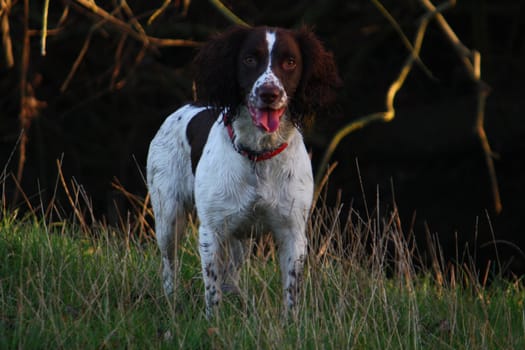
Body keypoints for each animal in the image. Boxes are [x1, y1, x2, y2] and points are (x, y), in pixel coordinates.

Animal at [146, 26, 340, 318]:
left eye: (290, 62)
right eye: (249, 59)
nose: (269, 93)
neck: (259, 155)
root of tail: (185, 107)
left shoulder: (293, 231)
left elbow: (291, 289)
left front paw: (291, 323)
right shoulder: (212, 230)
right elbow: (212, 287)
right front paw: (213, 322)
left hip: (240, 238)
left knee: (231, 272)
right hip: (168, 217)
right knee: (170, 266)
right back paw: (173, 304)